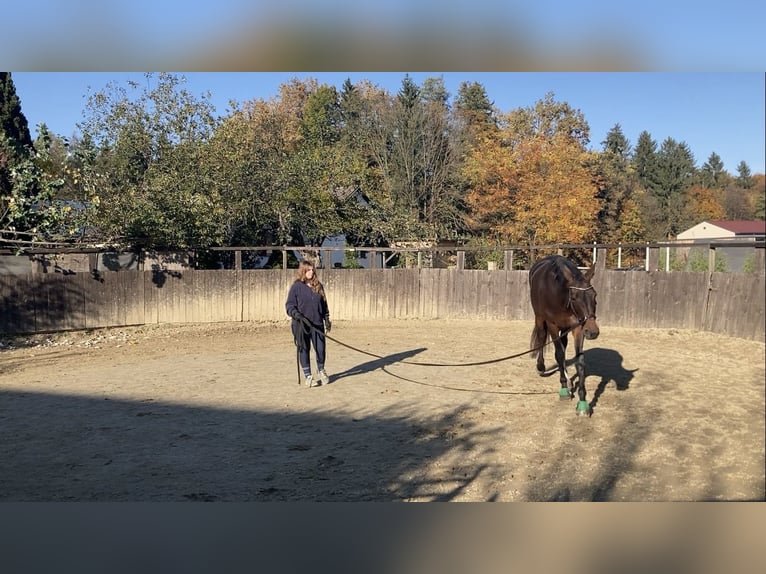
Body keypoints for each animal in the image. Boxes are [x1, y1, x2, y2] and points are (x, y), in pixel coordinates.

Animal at [532, 255, 604, 414]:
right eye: (575, 297)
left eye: (594, 295)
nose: (593, 332)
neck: (560, 295)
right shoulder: (552, 325)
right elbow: (559, 354)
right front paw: (564, 389)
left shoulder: (578, 328)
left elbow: (580, 361)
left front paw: (583, 402)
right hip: (539, 317)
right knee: (542, 336)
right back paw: (541, 366)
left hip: (565, 329)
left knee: (563, 346)